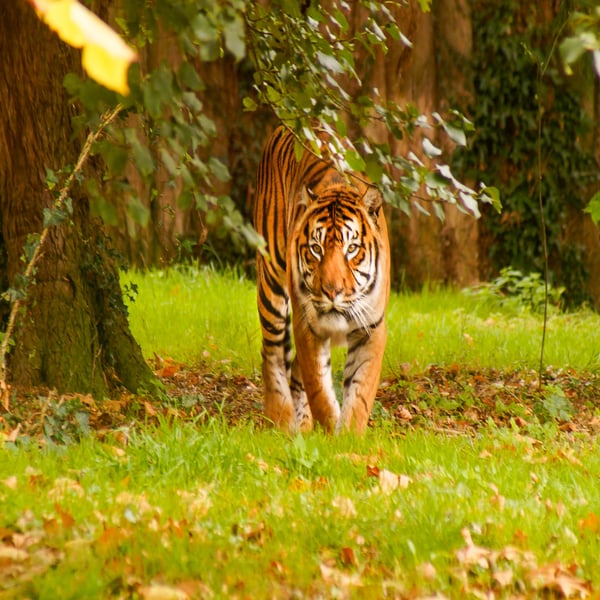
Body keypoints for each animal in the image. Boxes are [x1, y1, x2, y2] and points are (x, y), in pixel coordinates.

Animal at [252, 126, 390, 434]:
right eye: (316, 249)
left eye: (352, 249)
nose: (331, 291)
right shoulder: (307, 326)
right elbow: (319, 389)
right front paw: (330, 429)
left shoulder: (372, 328)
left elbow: (360, 392)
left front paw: (348, 436)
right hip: (271, 280)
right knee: (272, 352)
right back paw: (280, 419)